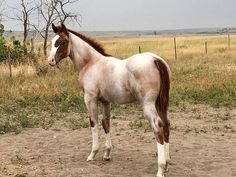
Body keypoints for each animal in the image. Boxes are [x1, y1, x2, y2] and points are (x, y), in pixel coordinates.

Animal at [47, 23, 170, 177]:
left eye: (62, 42)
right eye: (52, 41)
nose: (50, 61)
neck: (91, 63)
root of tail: (155, 60)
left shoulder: (90, 99)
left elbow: (93, 123)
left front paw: (92, 154)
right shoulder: (105, 101)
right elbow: (106, 124)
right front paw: (107, 154)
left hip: (148, 104)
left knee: (158, 127)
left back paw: (160, 169)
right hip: (161, 103)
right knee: (166, 124)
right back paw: (167, 164)